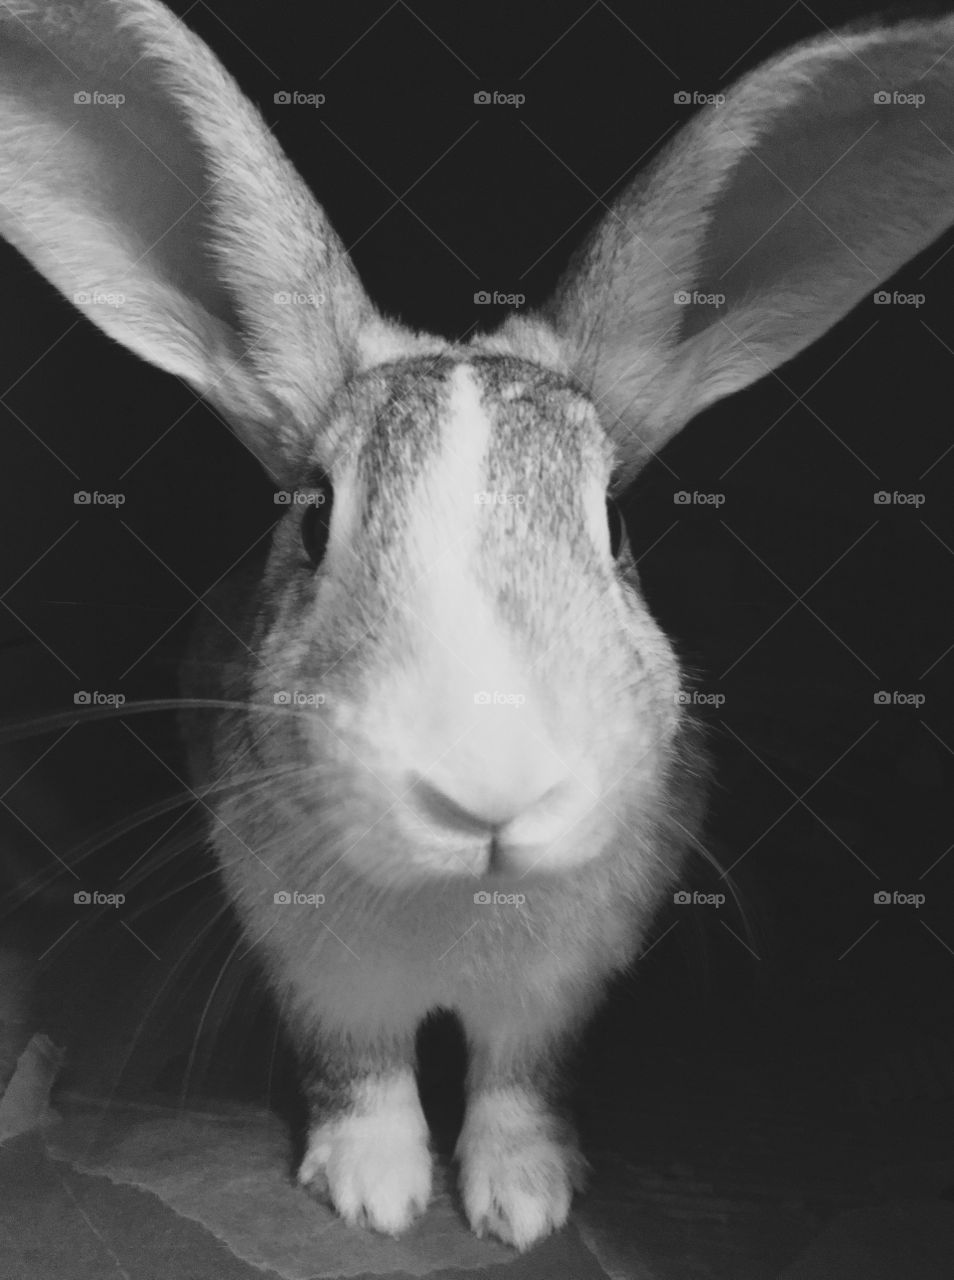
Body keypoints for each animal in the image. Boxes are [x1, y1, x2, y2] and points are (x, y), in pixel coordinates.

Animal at [1, 0, 953, 1252]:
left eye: (613, 523)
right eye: (313, 516)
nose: (491, 791)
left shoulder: (557, 992)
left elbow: (517, 1082)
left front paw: (526, 1200)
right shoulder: (320, 974)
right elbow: (363, 1074)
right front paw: (376, 1191)